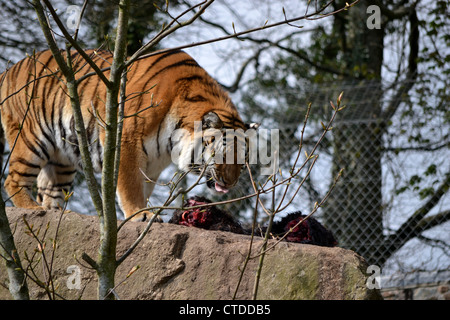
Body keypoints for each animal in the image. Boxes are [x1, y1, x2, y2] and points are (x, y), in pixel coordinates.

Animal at [0, 49, 256, 220]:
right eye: (223, 155)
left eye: (243, 161)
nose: (230, 184)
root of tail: (9, 69)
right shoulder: (125, 141)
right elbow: (130, 185)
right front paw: (140, 215)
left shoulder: (153, 163)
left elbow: (144, 187)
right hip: (31, 138)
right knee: (13, 180)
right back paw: (32, 210)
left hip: (62, 158)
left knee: (48, 187)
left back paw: (54, 212)